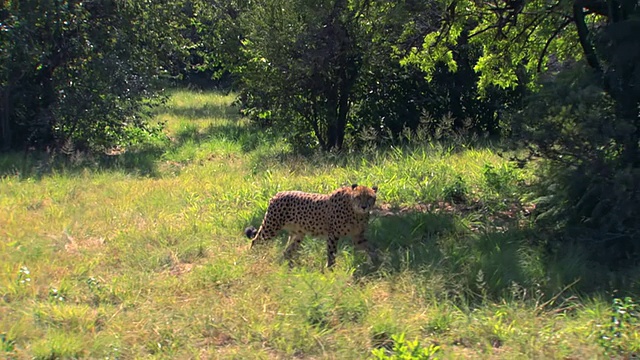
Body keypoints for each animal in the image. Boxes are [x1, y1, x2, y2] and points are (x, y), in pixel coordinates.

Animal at [244, 186, 376, 268]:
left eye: (370, 197)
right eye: (358, 197)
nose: (364, 206)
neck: (355, 212)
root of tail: (278, 194)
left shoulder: (358, 236)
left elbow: (370, 248)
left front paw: (376, 263)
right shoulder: (333, 235)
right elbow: (332, 253)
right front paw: (331, 270)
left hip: (298, 234)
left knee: (287, 251)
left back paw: (290, 268)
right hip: (271, 227)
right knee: (255, 240)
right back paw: (253, 258)